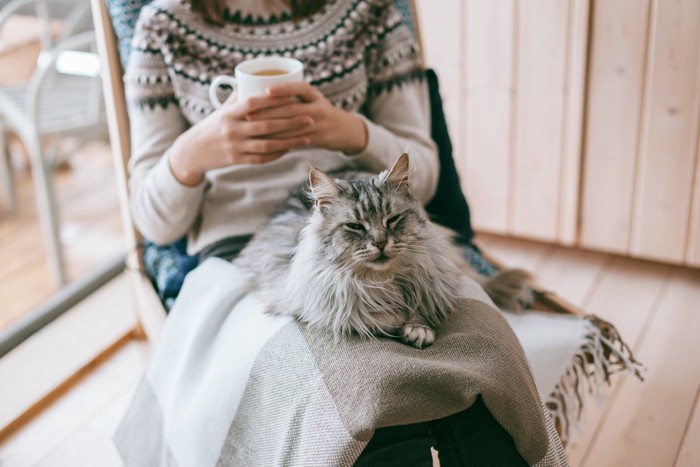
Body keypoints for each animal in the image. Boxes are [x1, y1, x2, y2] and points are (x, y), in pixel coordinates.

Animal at [235, 154, 532, 348]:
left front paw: (417, 328)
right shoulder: (320, 303)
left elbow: (420, 303)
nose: (379, 242)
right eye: (355, 226)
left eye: (392, 220)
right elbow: (370, 315)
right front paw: (397, 321)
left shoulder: (428, 279)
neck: (380, 281)